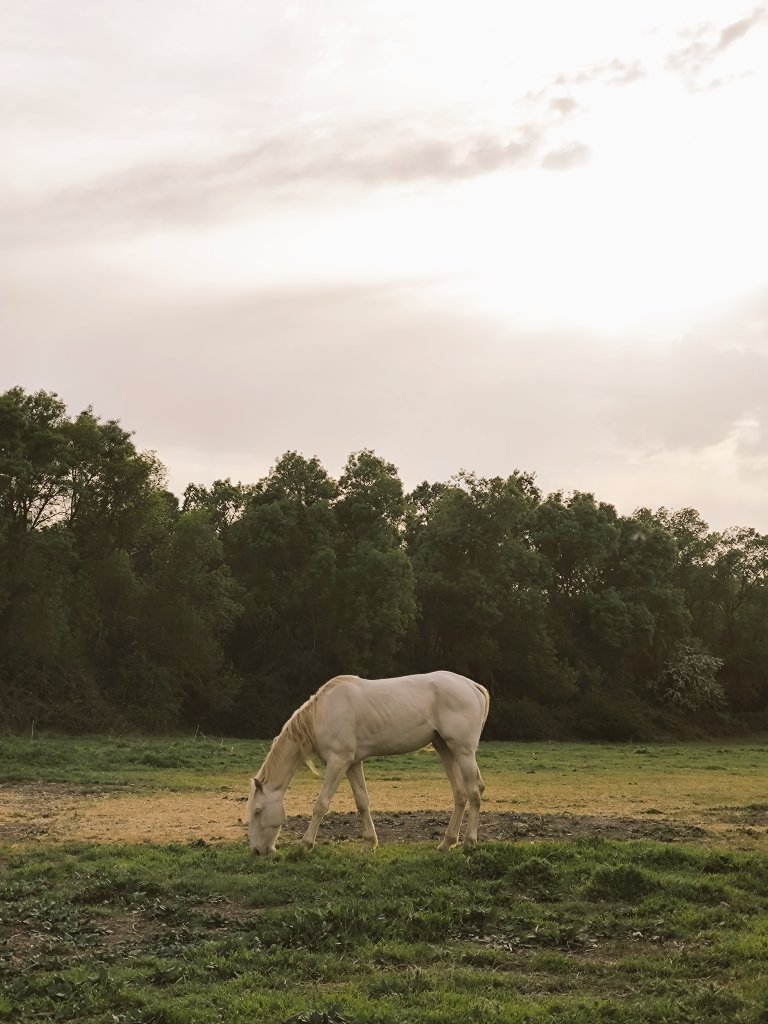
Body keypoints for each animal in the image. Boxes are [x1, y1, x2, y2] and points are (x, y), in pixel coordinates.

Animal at [246, 670, 490, 855]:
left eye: (257, 811)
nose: (258, 851)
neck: (320, 715)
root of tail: (472, 686)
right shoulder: (352, 764)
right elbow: (362, 801)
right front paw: (369, 843)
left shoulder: (338, 762)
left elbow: (321, 804)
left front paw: (306, 844)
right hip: (445, 750)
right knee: (460, 794)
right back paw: (447, 842)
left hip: (463, 752)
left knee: (474, 792)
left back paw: (469, 841)